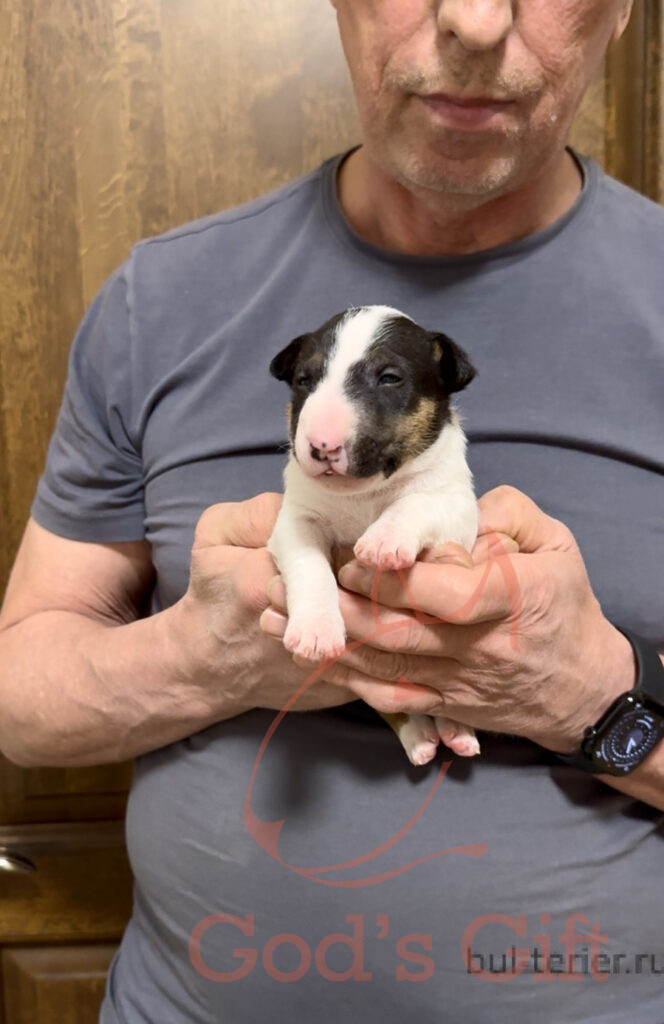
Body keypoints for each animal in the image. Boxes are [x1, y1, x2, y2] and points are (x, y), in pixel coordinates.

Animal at [267, 305, 480, 766]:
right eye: (304, 380)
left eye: (389, 378)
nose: (322, 446)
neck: (361, 495)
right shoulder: (294, 520)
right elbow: (310, 566)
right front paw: (316, 631)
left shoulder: (458, 506)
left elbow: (417, 502)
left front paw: (384, 541)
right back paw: (421, 736)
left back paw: (456, 728)